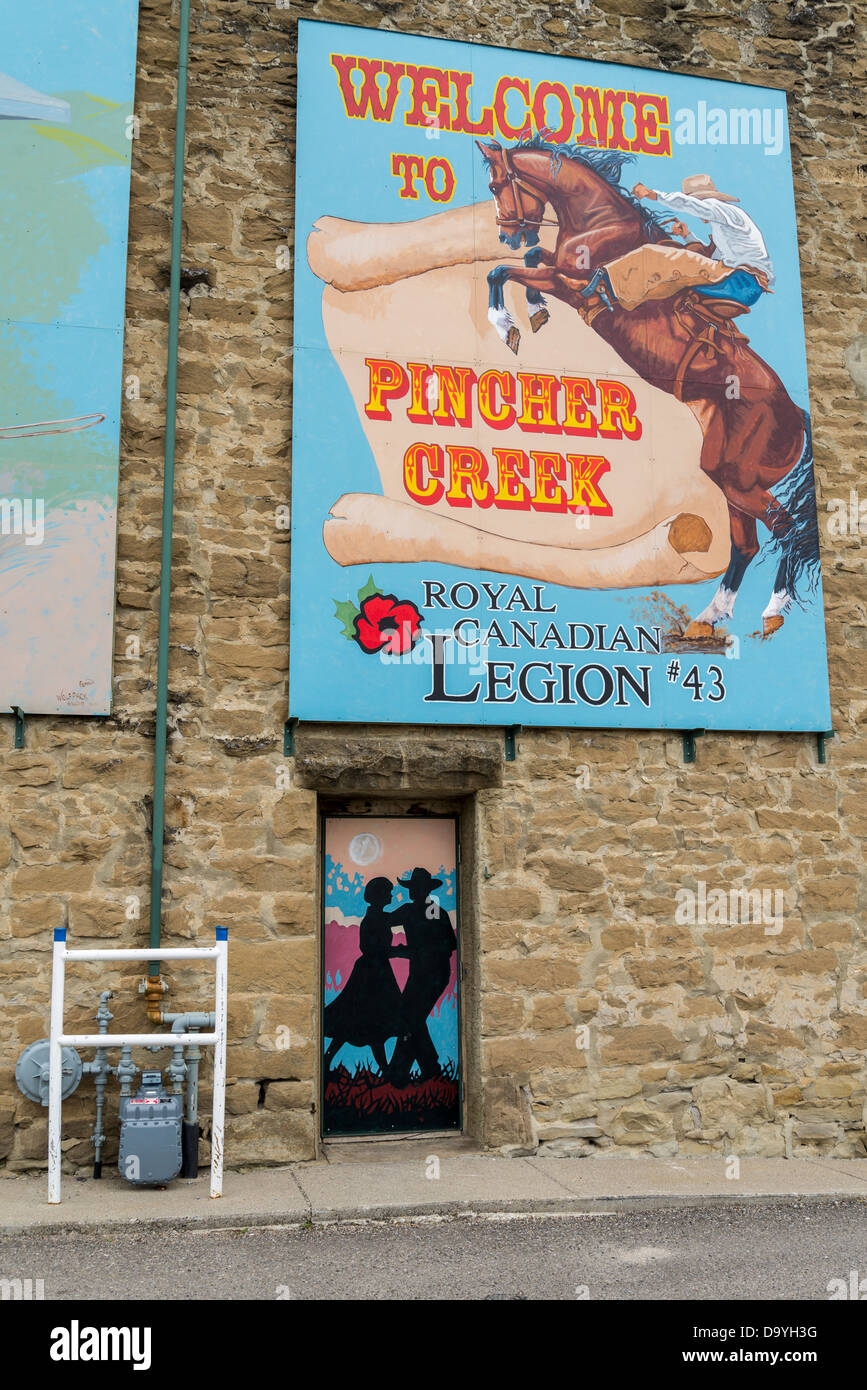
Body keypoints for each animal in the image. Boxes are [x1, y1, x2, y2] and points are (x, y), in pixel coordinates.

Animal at [480, 135, 816, 636]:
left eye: (497, 184)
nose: (508, 234)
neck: (601, 226)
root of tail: (795, 414)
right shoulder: (558, 274)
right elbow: (528, 262)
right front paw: (535, 310)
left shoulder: (571, 282)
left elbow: (505, 271)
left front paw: (509, 325)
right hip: (730, 477)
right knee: (748, 544)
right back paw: (708, 617)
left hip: (740, 482)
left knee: (790, 531)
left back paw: (772, 610)